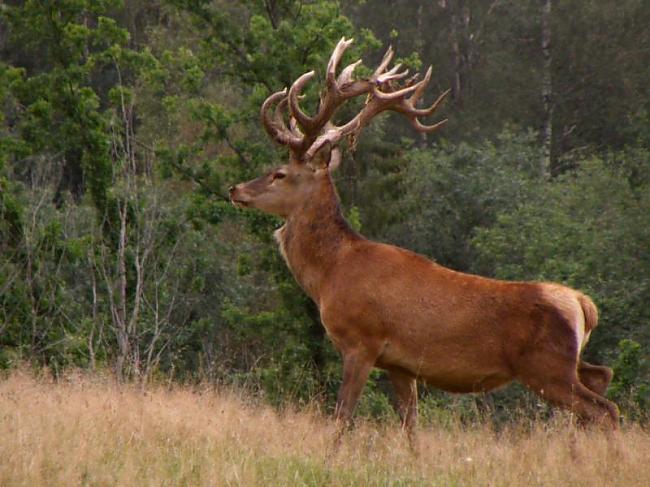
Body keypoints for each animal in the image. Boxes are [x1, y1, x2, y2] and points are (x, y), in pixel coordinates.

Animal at [228, 38, 616, 448]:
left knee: (604, 410)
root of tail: (583, 304)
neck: (331, 274)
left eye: (279, 173)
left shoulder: (361, 341)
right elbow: (410, 428)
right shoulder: (400, 364)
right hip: (565, 363)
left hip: (545, 366)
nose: (235, 189)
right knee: (602, 377)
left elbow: (342, 417)